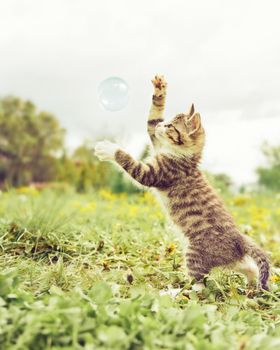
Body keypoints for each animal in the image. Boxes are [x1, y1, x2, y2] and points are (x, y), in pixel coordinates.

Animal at [95, 74, 270, 290]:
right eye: (166, 121)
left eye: (171, 126)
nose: (162, 126)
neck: (181, 154)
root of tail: (239, 238)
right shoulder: (156, 142)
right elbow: (151, 120)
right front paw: (159, 89)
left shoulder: (156, 173)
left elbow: (130, 162)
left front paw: (108, 149)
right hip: (228, 259)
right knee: (247, 266)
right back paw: (251, 283)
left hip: (194, 253)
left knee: (199, 286)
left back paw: (175, 292)